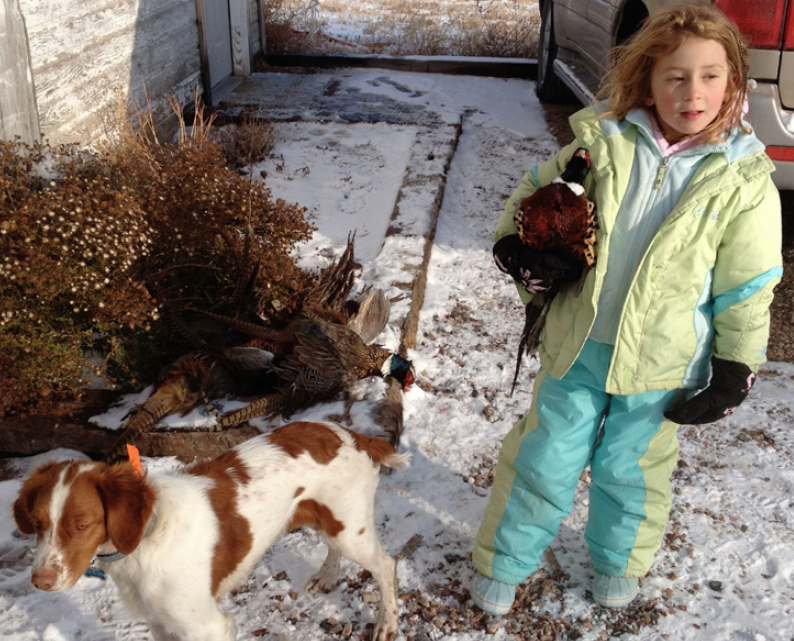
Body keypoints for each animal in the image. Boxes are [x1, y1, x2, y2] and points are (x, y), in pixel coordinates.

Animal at [12, 420, 408, 640]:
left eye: (82, 525)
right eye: (38, 524)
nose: (40, 582)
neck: (147, 538)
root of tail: (354, 435)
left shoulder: (210, 627)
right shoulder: (162, 625)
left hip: (351, 528)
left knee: (386, 565)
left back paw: (387, 626)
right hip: (334, 522)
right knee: (336, 546)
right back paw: (327, 576)